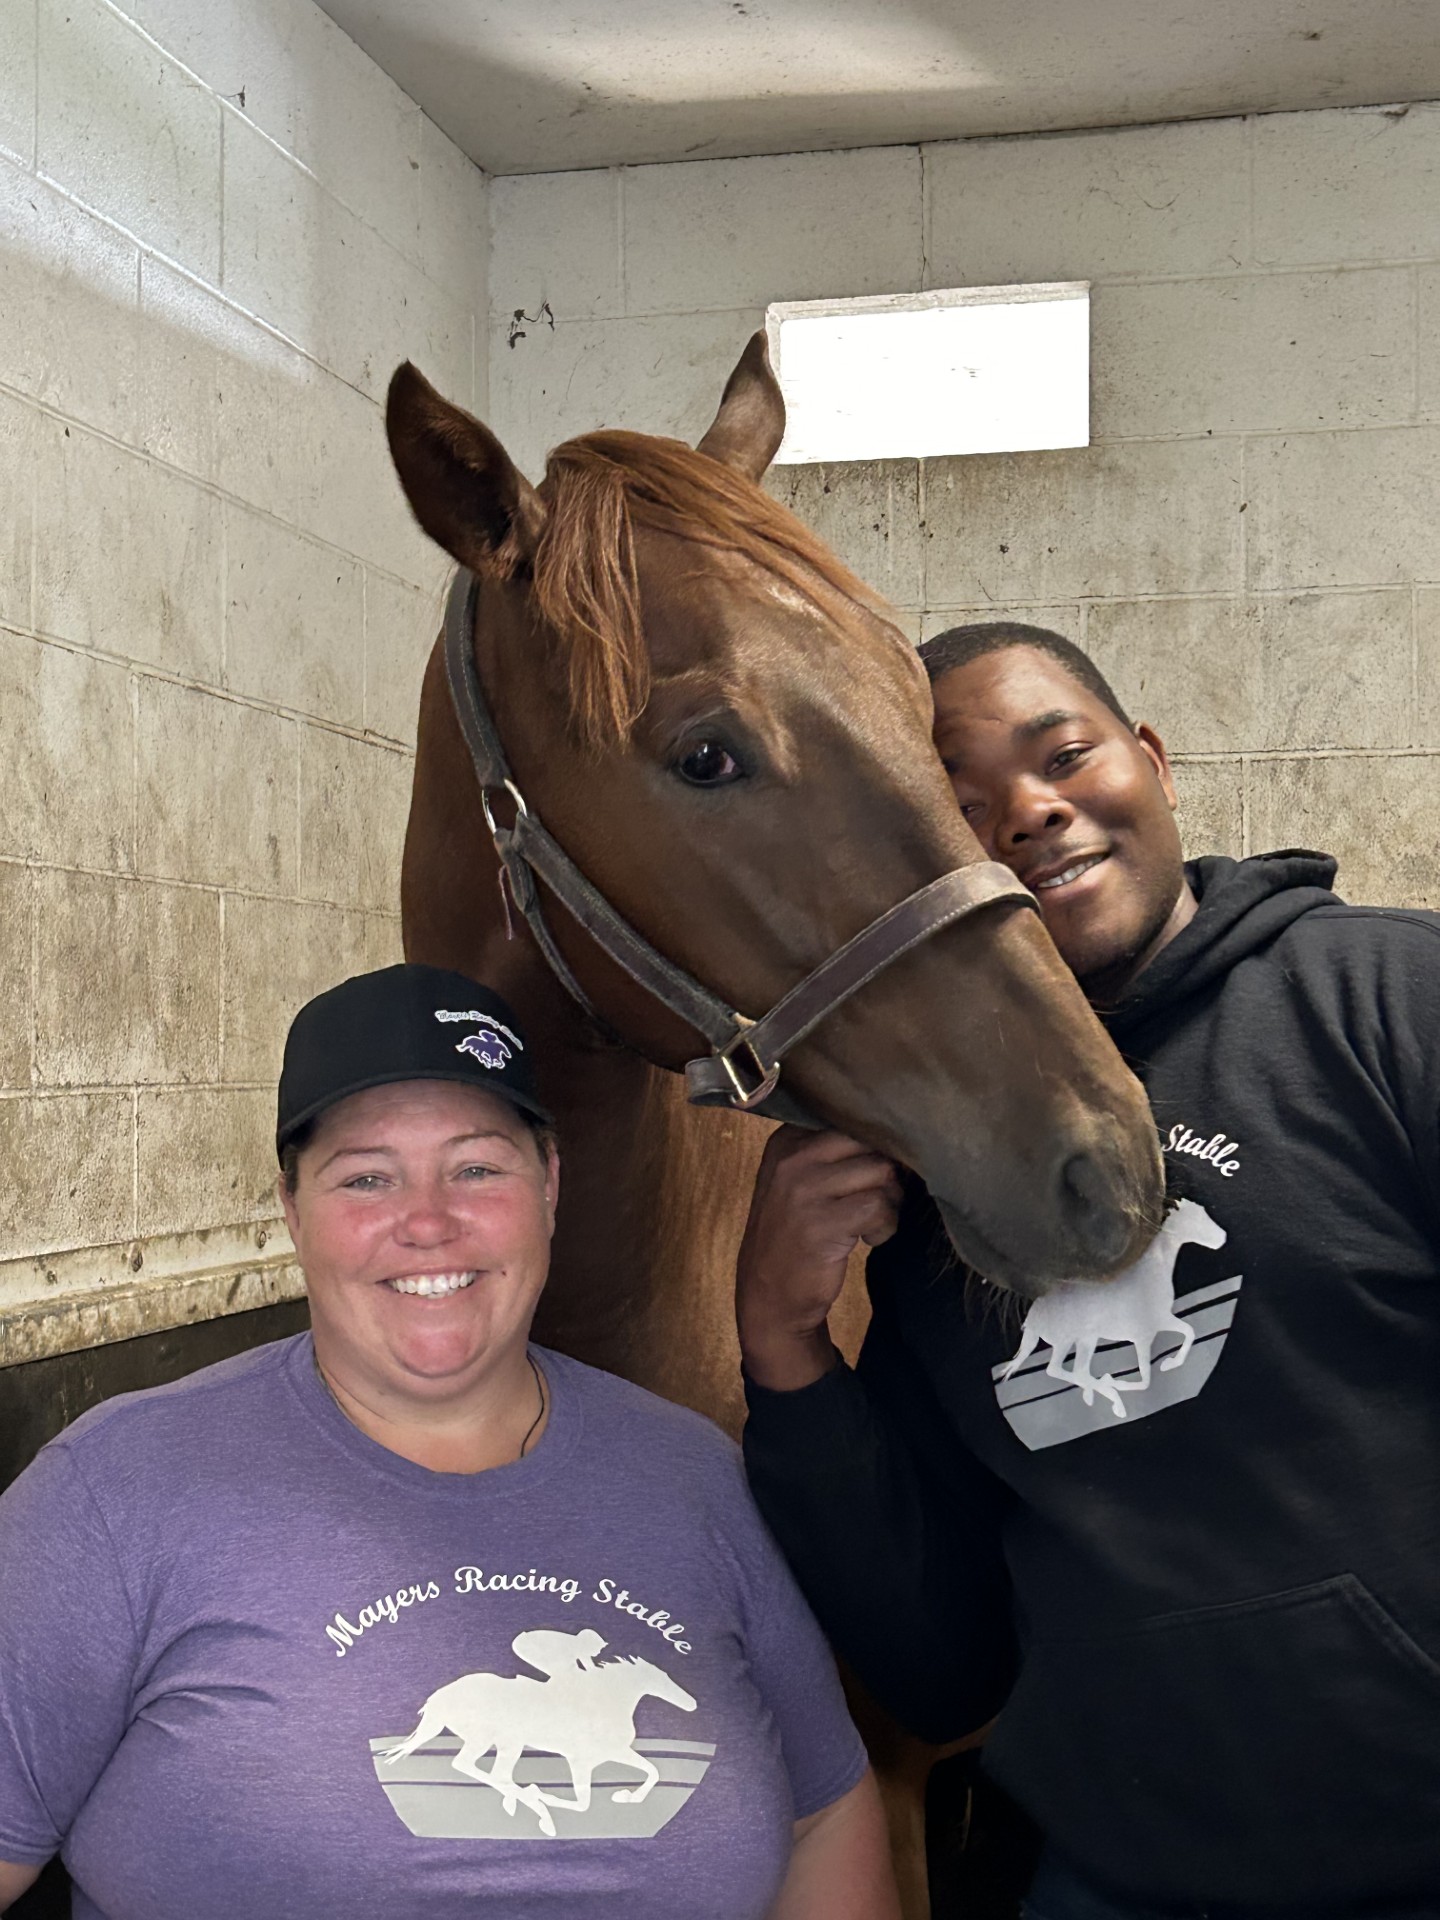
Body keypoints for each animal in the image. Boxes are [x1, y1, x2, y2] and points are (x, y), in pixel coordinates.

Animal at [384, 1643, 698, 1835]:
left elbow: (653, 1771)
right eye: (663, 1678)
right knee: (483, 1770)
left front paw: (628, 1796)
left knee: (488, 1772)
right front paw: (543, 1796)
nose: (692, 1703)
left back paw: (521, 1802)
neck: (603, 1702)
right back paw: (534, 1805)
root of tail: (440, 1696)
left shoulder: (615, 1751)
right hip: (499, 1739)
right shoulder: (580, 1760)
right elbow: (582, 1803)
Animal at [1006, 1190, 1228, 1420]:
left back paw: (1097, 1393)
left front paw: (1170, 1363)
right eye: (1196, 1218)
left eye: (1203, 1212)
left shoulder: (1162, 1322)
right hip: (1066, 1340)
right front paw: (1118, 1384)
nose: (1223, 1238)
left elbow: (1188, 1331)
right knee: (1057, 1370)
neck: (1150, 1274)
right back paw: (1110, 1397)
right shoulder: (1143, 1337)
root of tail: (1034, 1315)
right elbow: (1145, 1380)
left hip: (1087, 1339)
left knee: (1079, 1372)